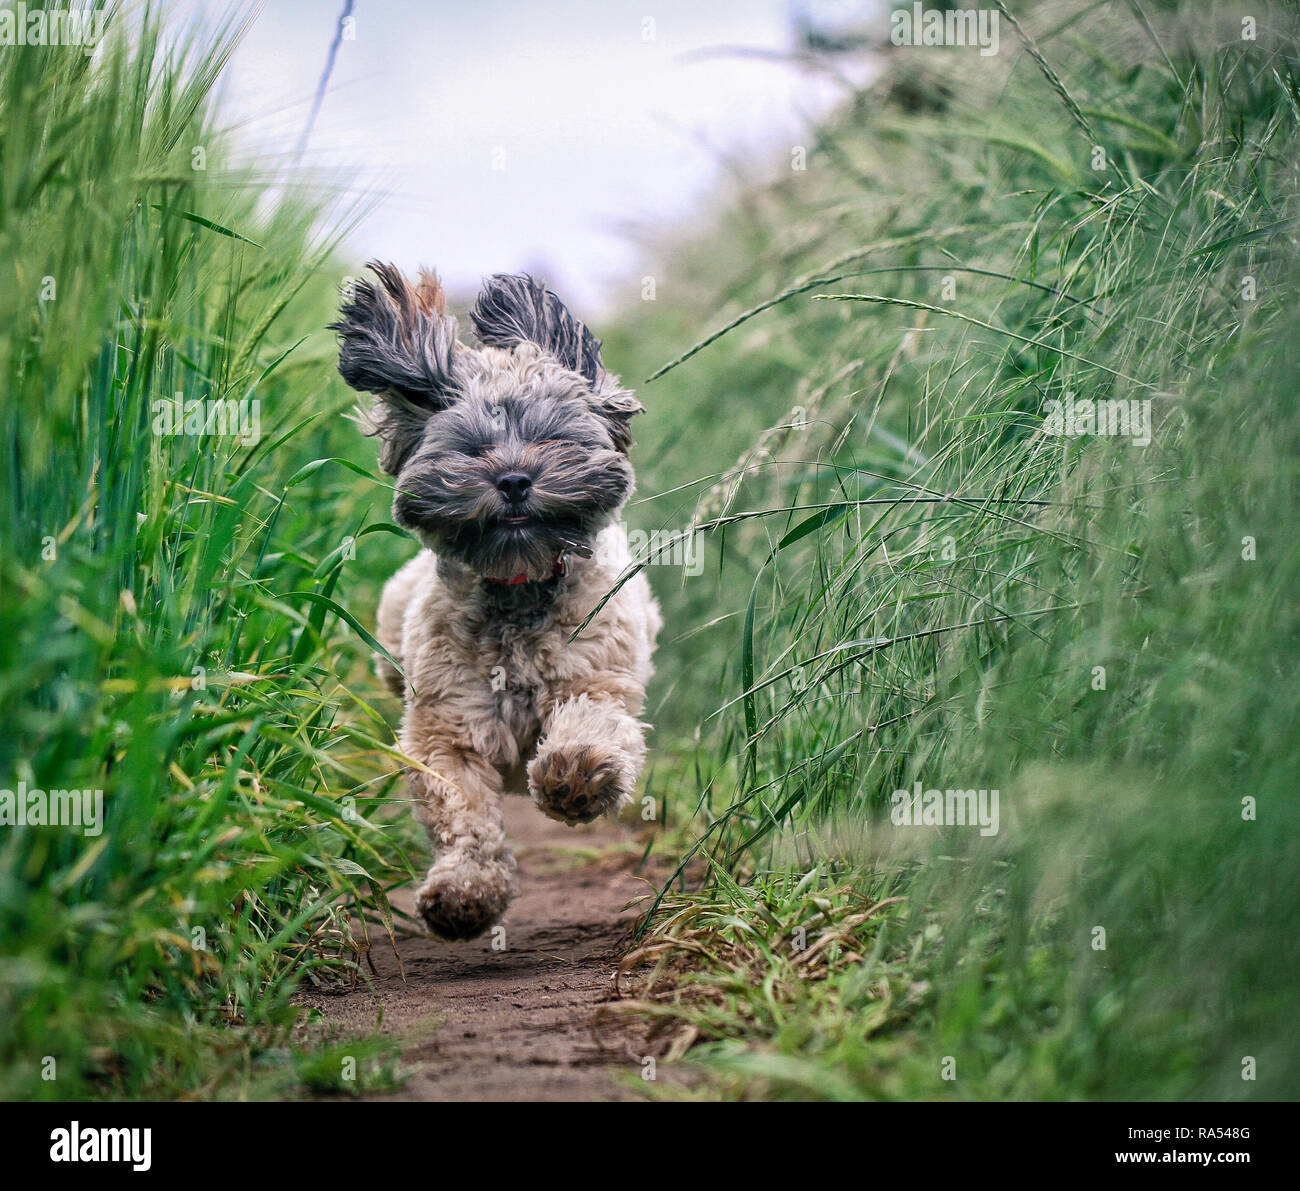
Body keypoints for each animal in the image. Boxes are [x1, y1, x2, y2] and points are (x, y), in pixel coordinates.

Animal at [335, 265, 660, 946]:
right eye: (471, 448)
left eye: (549, 438)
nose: (513, 480)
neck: (519, 587)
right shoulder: (448, 727)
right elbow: (463, 813)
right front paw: (464, 893)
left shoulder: (598, 678)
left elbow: (594, 725)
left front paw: (573, 777)